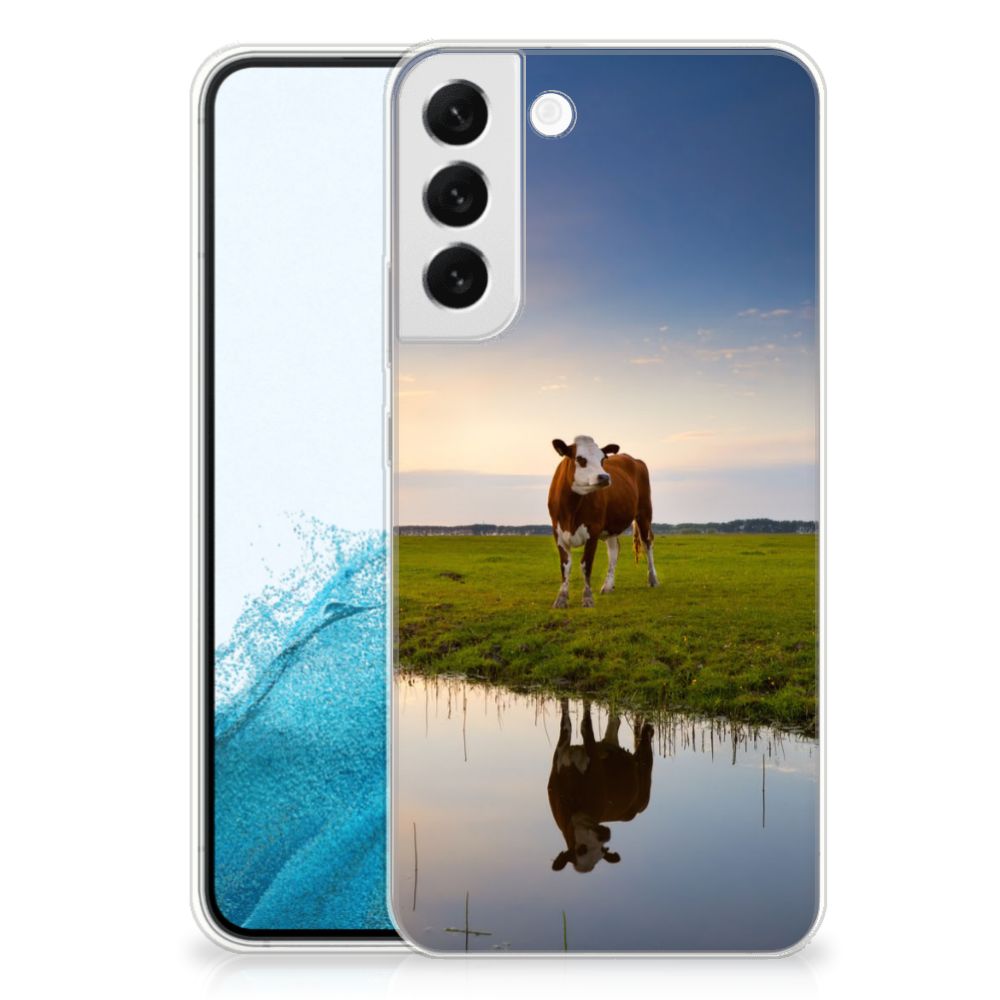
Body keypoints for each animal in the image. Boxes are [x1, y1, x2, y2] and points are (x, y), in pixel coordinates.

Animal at [547, 699, 654, 873]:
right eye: (581, 849)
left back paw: (649, 728)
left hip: (645, 774)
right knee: (615, 721)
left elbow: (585, 725)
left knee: (645, 743)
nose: (606, 835)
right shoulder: (560, 754)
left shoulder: (594, 763)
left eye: (602, 851)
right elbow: (566, 723)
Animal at [548, 435, 658, 609]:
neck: (571, 509)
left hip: (645, 513)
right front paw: (561, 598)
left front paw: (587, 598)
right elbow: (565, 566)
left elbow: (586, 564)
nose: (605, 477)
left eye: (602, 459)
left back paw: (652, 579)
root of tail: (633, 459)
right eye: (580, 459)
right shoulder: (558, 533)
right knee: (614, 550)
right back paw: (608, 586)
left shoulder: (593, 531)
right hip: (611, 526)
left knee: (647, 543)